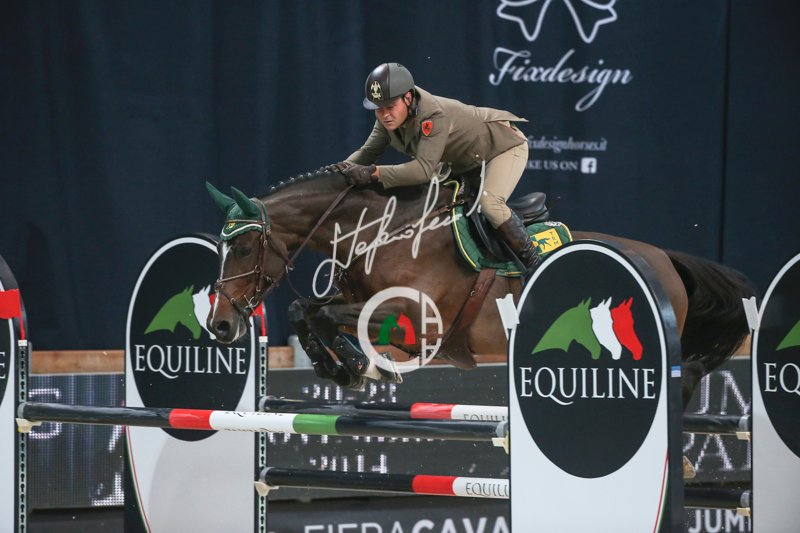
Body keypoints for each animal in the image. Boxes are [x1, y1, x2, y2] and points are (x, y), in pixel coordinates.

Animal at [205, 166, 754, 406]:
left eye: (244, 249)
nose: (221, 326)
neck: (378, 232)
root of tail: (664, 257)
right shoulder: (358, 300)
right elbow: (305, 311)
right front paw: (340, 367)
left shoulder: (419, 323)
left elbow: (326, 315)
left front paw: (362, 367)